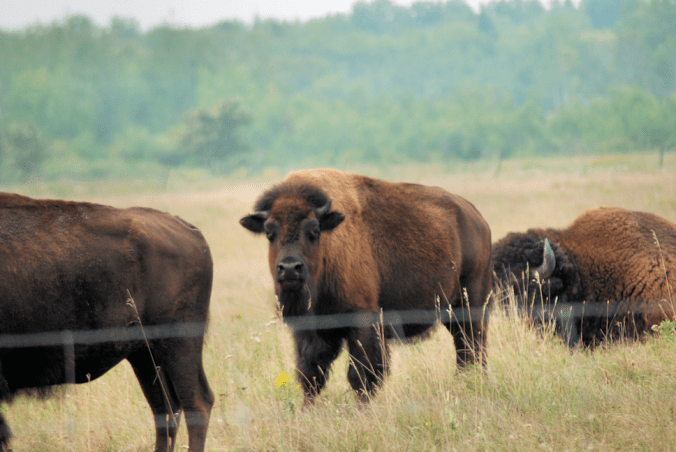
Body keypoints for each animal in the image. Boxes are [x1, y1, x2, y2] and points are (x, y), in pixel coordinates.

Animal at [240, 168, 493, 404]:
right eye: (270, 232)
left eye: (314, 230)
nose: (290, 268)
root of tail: (477, 218)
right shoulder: (308, 330)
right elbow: (311, 375)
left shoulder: (363, 321)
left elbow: (361, 375)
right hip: (452, 311)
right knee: (464, 348)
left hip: (472, 303)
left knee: (473, 344)